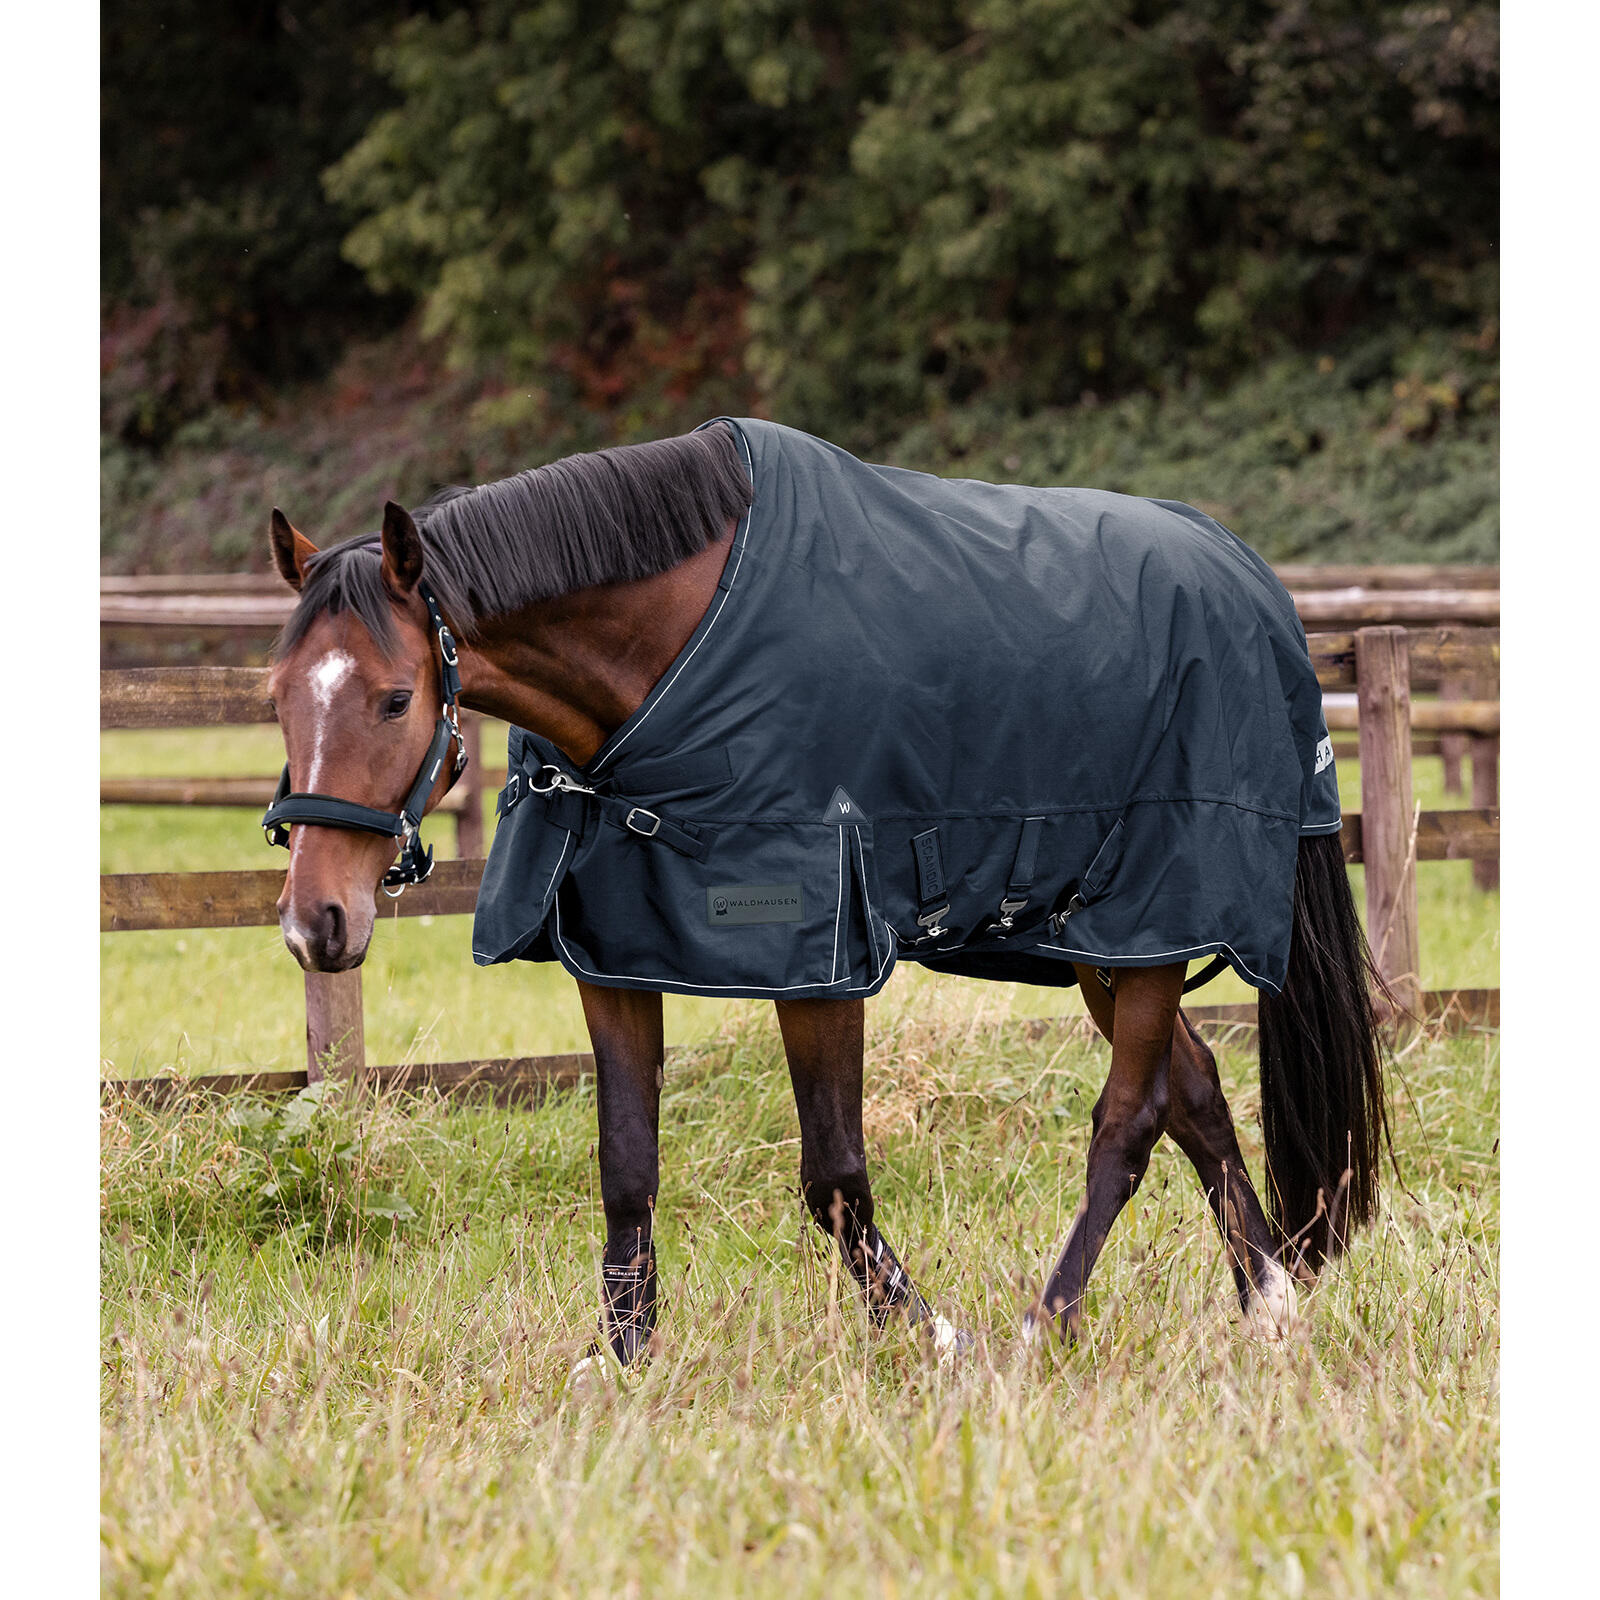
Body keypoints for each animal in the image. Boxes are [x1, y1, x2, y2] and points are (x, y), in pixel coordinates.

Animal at [263, 417, 1388, 1365]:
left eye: (394, 698)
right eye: (275, 695)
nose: (317, 924)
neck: (675, 659)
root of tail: (1251, 580)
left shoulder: (822, 960)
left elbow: (834, 1176)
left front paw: (928, 1337)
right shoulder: (614, 953)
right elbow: (626, 1166)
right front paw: (624, 1361)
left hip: (1153, 915)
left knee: (1130, 1120)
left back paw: (1045, 1326)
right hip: (1103, 942)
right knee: (1193, 1090)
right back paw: (1267, 1307)